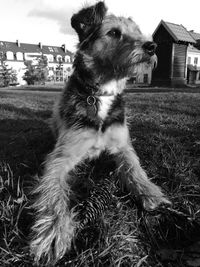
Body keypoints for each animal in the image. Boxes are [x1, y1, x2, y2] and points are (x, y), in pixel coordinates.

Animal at [30, 1, 170, 266]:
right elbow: (54, 193)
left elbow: (135, 167)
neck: (102, 93)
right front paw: (55, 230)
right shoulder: (61, 157)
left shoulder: (123, 145)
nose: (151, 46)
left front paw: (148, 191)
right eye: (114, 32)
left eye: (138, 32)